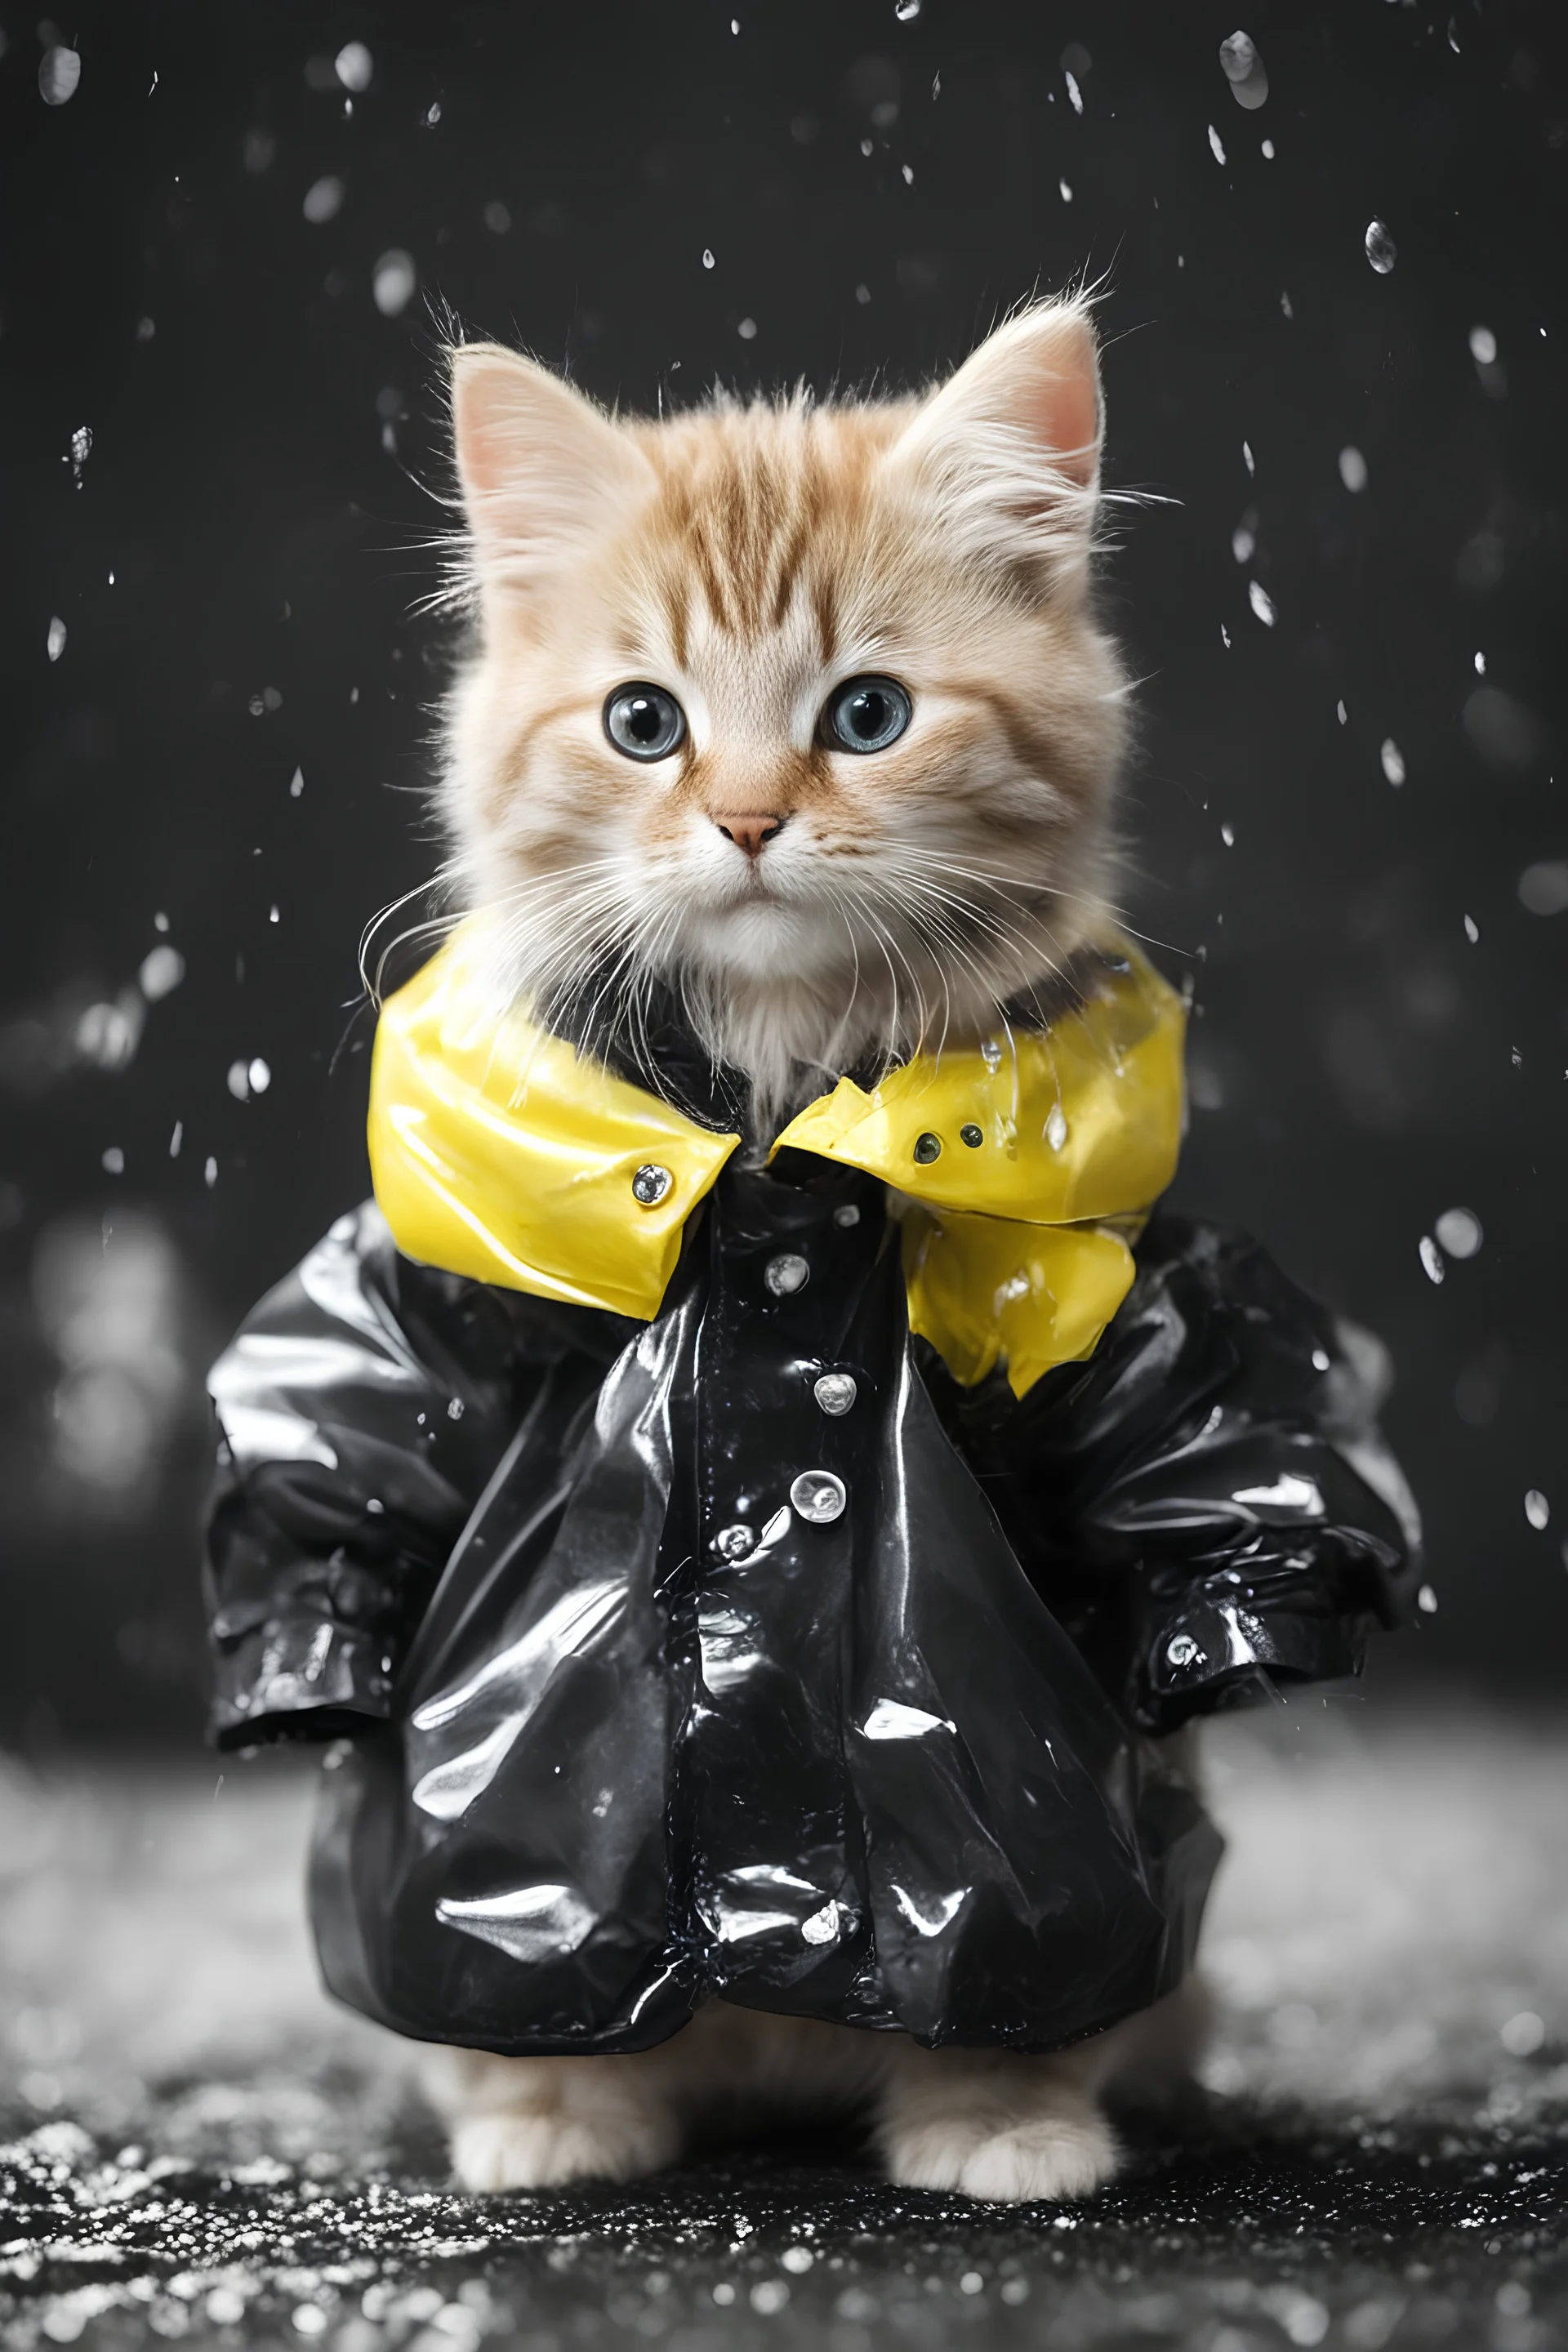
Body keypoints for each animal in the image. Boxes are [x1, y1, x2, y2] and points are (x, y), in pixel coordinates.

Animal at [423, 298, 1194, 2201]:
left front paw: (1004, 2119)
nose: (753, 820)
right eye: (644, 723)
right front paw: (545, 2110)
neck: (775, 1072)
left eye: (869, 714)